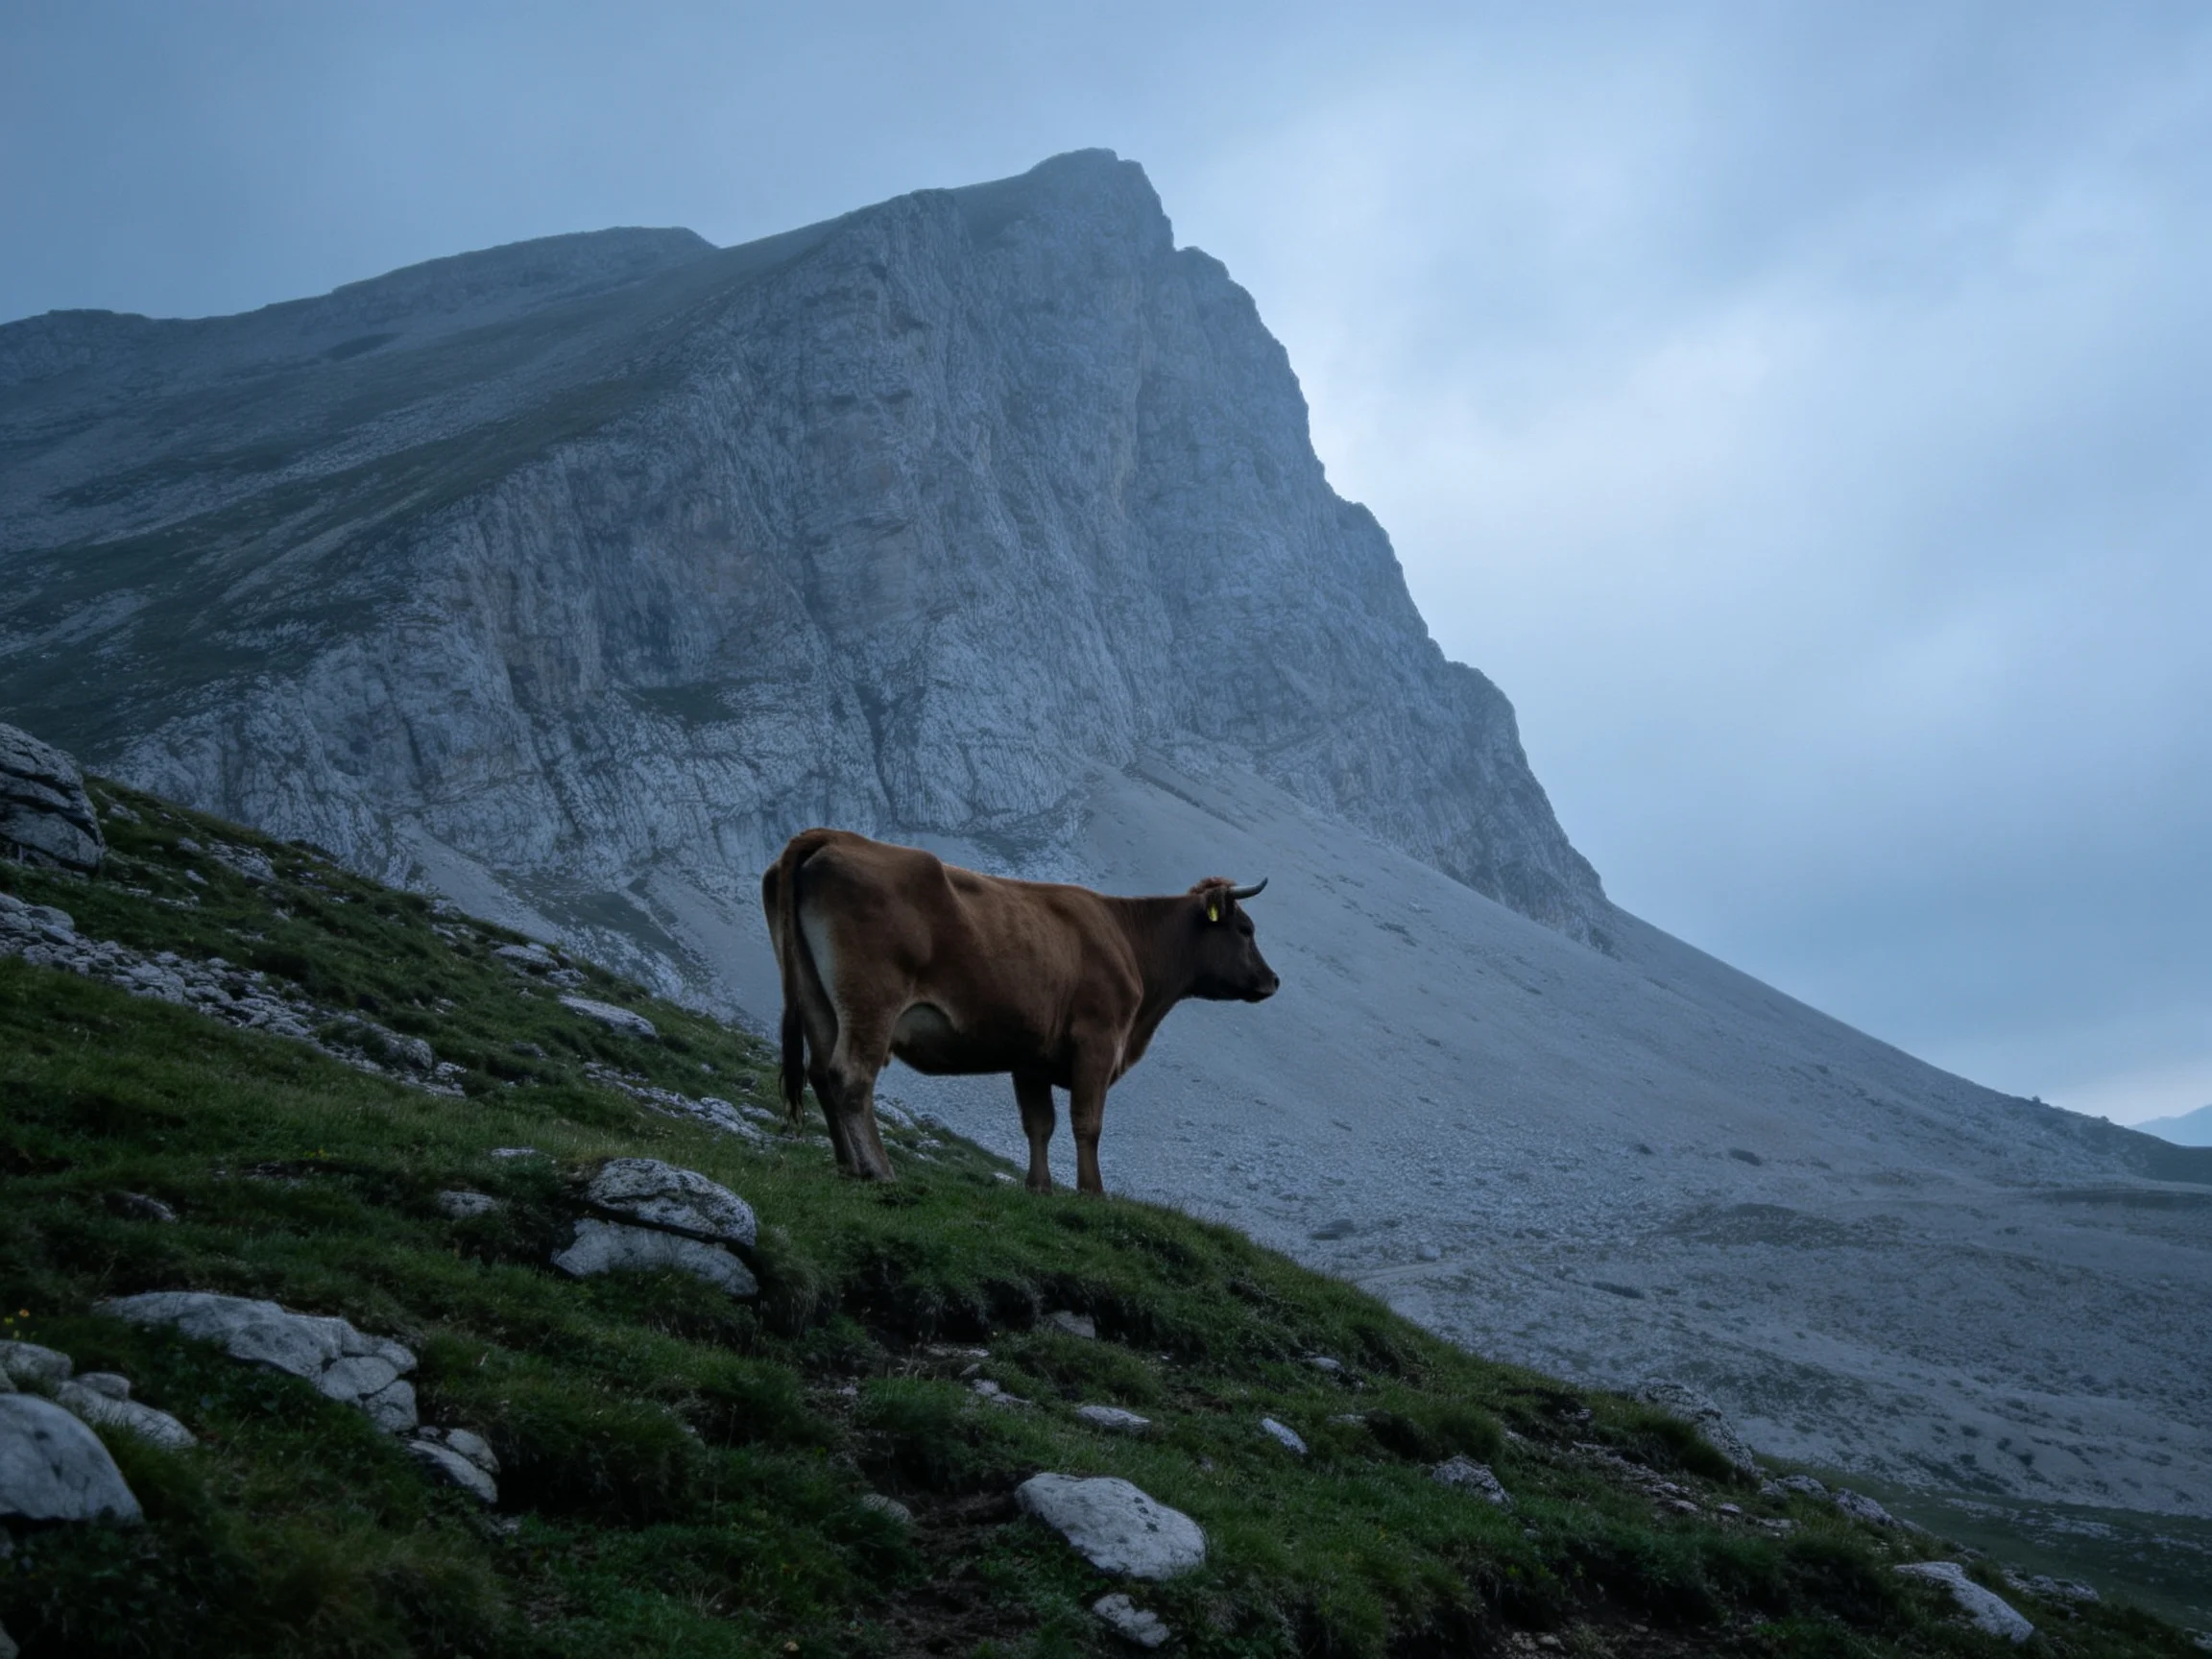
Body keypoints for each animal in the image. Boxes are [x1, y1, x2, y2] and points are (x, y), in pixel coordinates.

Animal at [760, 828, 1278, 1194]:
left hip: (815, 998)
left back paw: (849, 1166)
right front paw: (1092, 1192)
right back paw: (879, 1170)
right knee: (851, 1076)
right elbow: (1087, 1123)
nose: (1272, 980)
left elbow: (1039, 1125)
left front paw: (1039, 1187)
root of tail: (833, 836)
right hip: (871, 1001)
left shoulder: (1031, 1058)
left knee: (821, 1073)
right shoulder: (1097, 1040)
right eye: (1246, 929)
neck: (1127, 939)